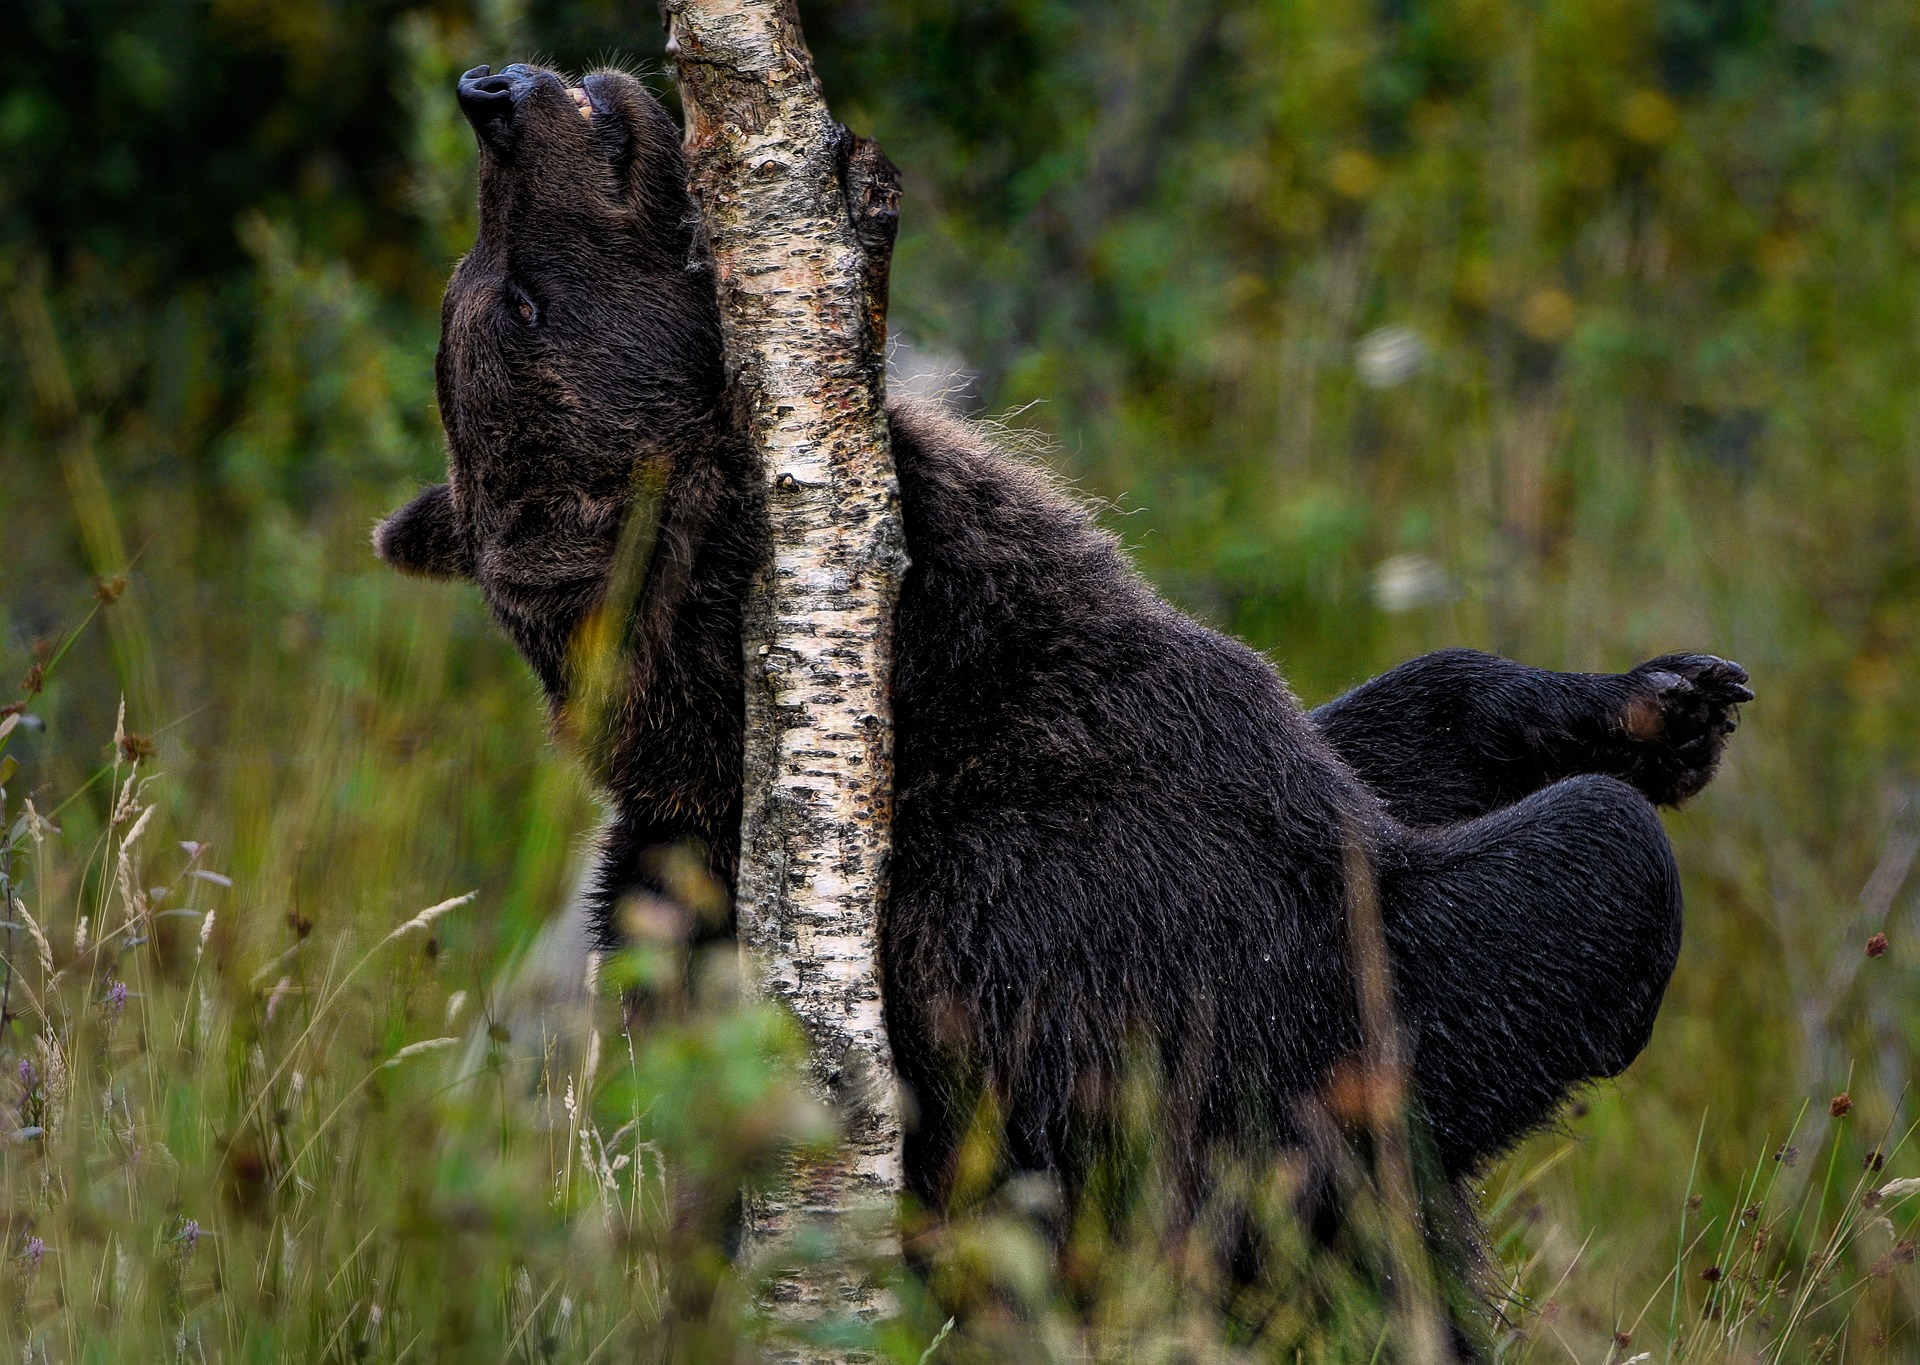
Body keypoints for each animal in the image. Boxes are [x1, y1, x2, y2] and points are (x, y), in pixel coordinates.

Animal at [375, 60, 1750, 1307]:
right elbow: (1468, 950)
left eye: (476, 287)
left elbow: (1402, 716)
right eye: (519, 302)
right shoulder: (1112, 935)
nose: (494, 93)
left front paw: (1662, 703)